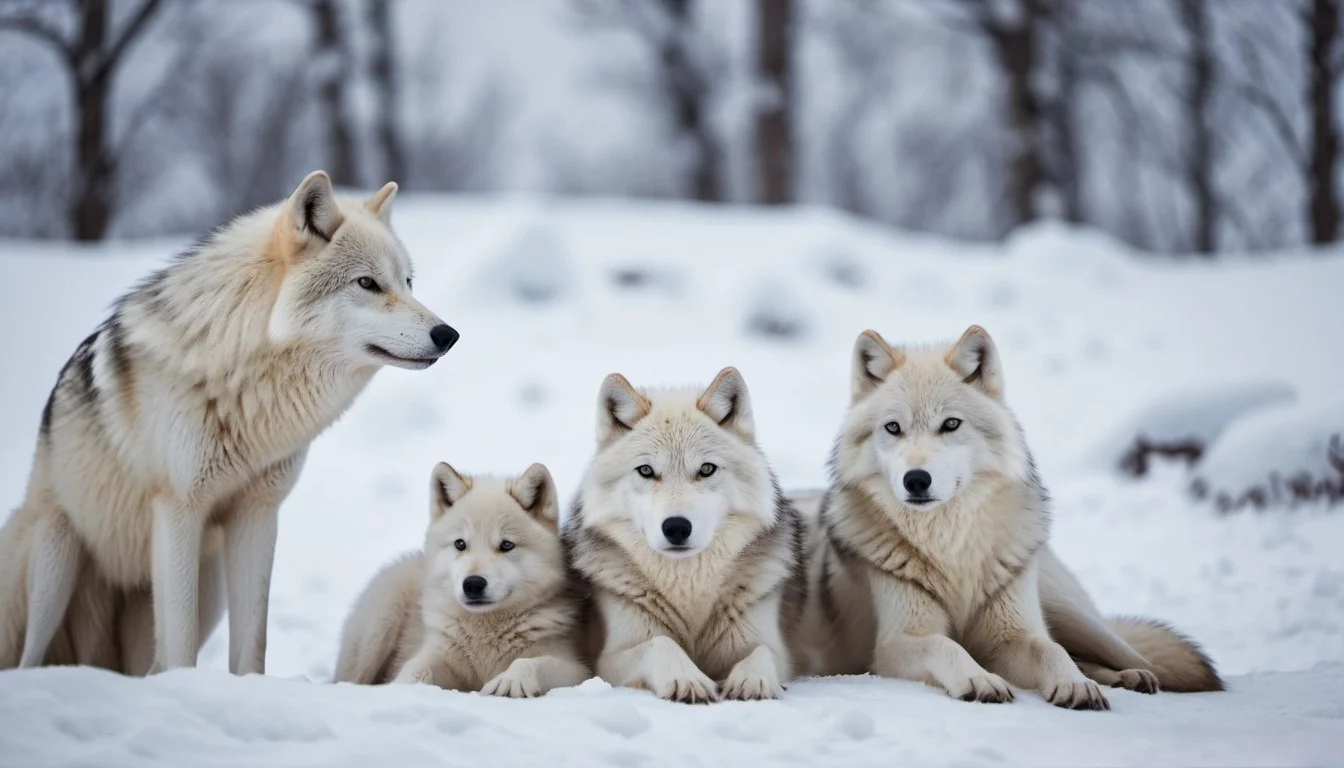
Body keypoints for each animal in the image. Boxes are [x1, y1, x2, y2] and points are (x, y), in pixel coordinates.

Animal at [0, 170, 458, 675]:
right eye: (367, 283)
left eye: (408, 282)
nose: (448, 334)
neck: (242, 373)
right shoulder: (179, 509)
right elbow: (180, 646)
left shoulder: (257, 513)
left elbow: (252, 640)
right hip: (54, 567)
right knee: (30, 659)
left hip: (203, 590)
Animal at [335, 462, 588, 697]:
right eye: (460, 544)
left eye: (506, 545)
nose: (473, 584)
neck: (485, 634)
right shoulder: (437, 655)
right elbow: (414, 670)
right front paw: (400, 689)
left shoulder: (577, 669)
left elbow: (529, 663)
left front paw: (510, 681)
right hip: (378, 628)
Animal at [564, 367, 807, 703]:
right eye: (646, 471)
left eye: (706, 469)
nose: (676, 527)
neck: (688, 589)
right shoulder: (612, 656)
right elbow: (661, 644)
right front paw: (686, 679)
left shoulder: (772, 648)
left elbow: (761, 653)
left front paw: (752, 681)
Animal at [810, 326, 1222, 709]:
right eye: (893, 427)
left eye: (951, 424)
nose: (916, 480)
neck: (949, 545)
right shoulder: (898, 642)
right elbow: (947, 646)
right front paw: (979, 680)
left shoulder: (1013, 634)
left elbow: (1050, 650)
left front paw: (1073, 686)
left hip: (1078, 620)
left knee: (1131, 657)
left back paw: (1130, 676)